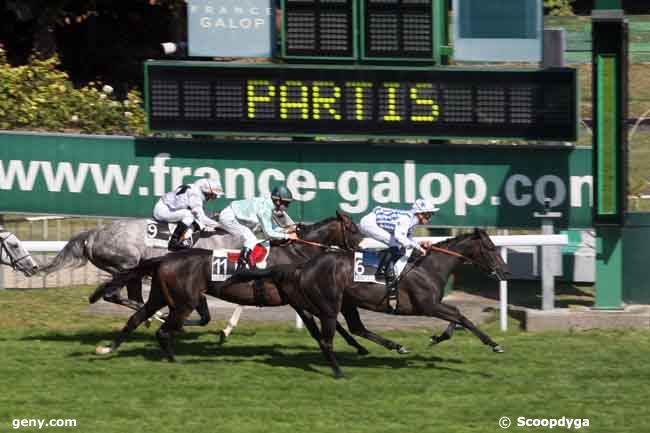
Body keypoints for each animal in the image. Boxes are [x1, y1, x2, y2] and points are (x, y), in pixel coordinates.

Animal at [91, 212, 370, 358]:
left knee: (137, 316)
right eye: (353, 228)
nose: (366, 250)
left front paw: (358, 346)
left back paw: (109, 348)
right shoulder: (298, 299)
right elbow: (332, 324)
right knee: (153, 317)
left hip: (160, 294)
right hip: (175, 296)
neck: (295, 253)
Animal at [229, 228, 512, 376]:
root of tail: (301, 267)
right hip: (330, 304)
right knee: (328, 338)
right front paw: (495, 344)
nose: (505, 272)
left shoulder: (434, 305)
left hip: (347, 302)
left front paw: (437, 337)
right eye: (490, 248)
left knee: (356, 328)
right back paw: (339, 371)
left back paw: (395, 346)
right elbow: (461, 315)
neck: (429, 266)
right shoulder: (427, 305)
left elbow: (456, 317)